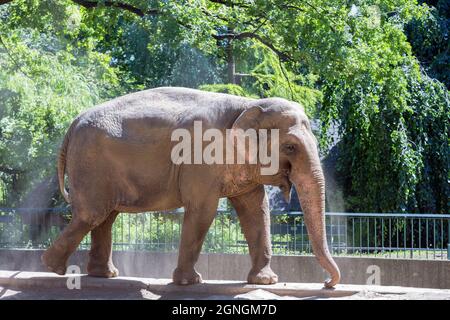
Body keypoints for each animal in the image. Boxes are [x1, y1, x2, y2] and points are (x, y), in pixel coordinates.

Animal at [41, 86, 342, 288]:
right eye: (290, 147)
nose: (327, 284)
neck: (246, 105)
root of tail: (73, 124)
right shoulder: (200, 157)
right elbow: (203, 210)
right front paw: (190, 282)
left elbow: (256, 210)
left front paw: (265, 282)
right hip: (91, 164)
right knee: (91, 214)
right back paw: (54, 268)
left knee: (106, 216)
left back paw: (103, 275)